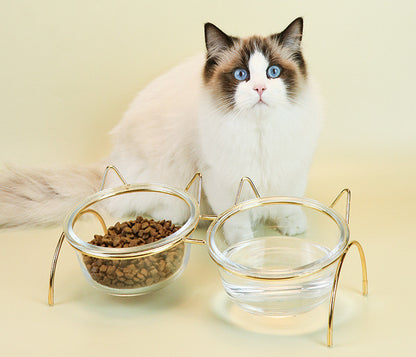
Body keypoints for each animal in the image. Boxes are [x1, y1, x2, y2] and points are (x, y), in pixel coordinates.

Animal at [0, 16, 322, 241]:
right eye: (241, 75)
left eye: (273, 72)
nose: (259, 88)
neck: (260, 132)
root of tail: (109, 167)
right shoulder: (221, 177)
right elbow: (236, 217)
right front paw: (240, 241)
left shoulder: (290, 168)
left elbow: (288, 203)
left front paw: (292, 227)